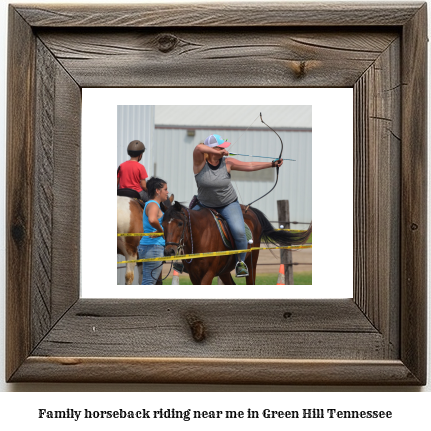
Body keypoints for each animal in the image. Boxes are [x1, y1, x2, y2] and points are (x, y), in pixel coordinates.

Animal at [164, 203, 312, 286]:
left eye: (180, 223)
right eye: (163, 223)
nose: (169, 251)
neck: (201, 235)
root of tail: (249, 210)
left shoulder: (208, 273)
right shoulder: (194, 276)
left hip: (251, 263)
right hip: (224, 271)